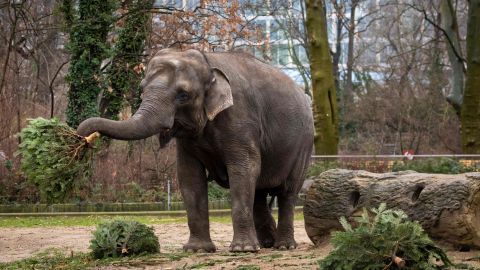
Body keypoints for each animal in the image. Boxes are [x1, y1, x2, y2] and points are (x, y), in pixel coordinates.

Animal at [78, 48, 316, 253]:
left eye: (183, 95)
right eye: (141, 89)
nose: (84, 139)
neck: (207, 62)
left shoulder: (240, 117)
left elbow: (243, 169)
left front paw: (242, 250)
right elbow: (189, 176)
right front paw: (197, 250)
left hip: (304, 143)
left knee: (288, 192)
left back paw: (283, 246)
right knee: (258, 192)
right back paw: (266, 243)